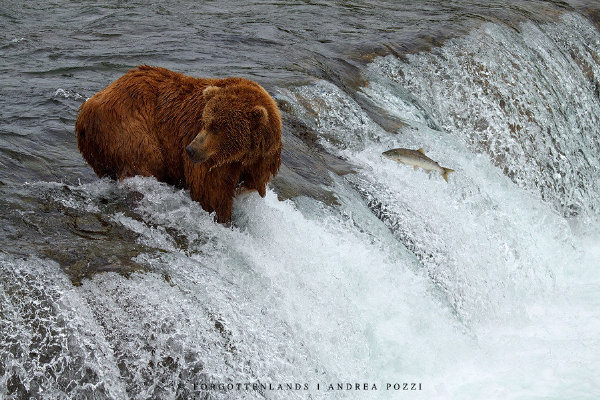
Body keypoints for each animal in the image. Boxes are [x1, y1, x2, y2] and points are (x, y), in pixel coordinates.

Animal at [75, 65, 282, 222]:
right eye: (205, 122)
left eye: (217, 127)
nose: (191, 149)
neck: (242, 154)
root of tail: (86, 108)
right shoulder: (211, 163)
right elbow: (211, 193)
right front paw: (223, 218)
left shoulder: (261, 160)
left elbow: (251, 185)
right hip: (129, 126)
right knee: (144, 161)